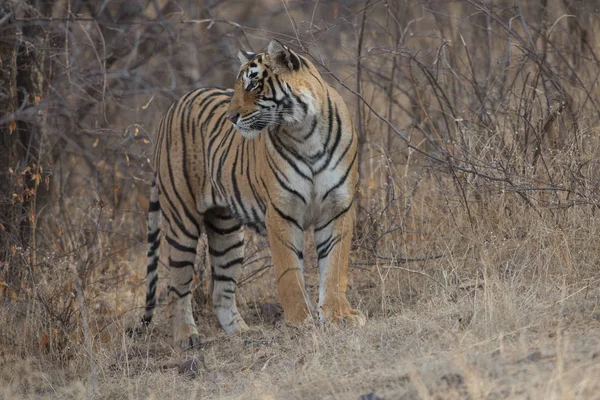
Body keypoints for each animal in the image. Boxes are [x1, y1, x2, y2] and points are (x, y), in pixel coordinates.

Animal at [141, 39, 366, 348]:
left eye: (253, 84)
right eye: (239, 86)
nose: (231, 117)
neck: (306, 133)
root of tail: (172, 106)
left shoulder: (337, 208)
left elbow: (334, 268)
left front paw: (339, 316)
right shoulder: (281, 212)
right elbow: (289, 273)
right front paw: (300, 321)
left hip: (227, 233)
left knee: (220, 291)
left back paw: (243, 333)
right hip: (181, 221)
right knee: (177, 286)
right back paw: (186, 336)